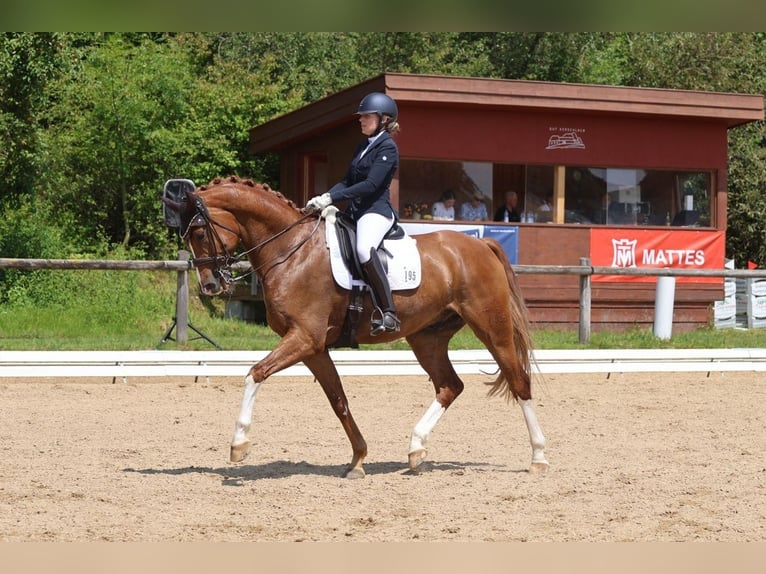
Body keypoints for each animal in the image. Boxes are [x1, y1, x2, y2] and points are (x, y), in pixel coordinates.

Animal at [165, 178, 548, 480]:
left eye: (198, 232)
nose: (210, 285)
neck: (291, 251)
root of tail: (480, 244)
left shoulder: (304, 338)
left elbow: (255, 373)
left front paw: (239, 444)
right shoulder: (314, 347)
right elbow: (338, 400)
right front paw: (358, 460)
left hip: (491, 326)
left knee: (518, 381)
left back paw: (539, 457)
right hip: (427, 336)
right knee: (449, 386)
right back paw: (416, 449)